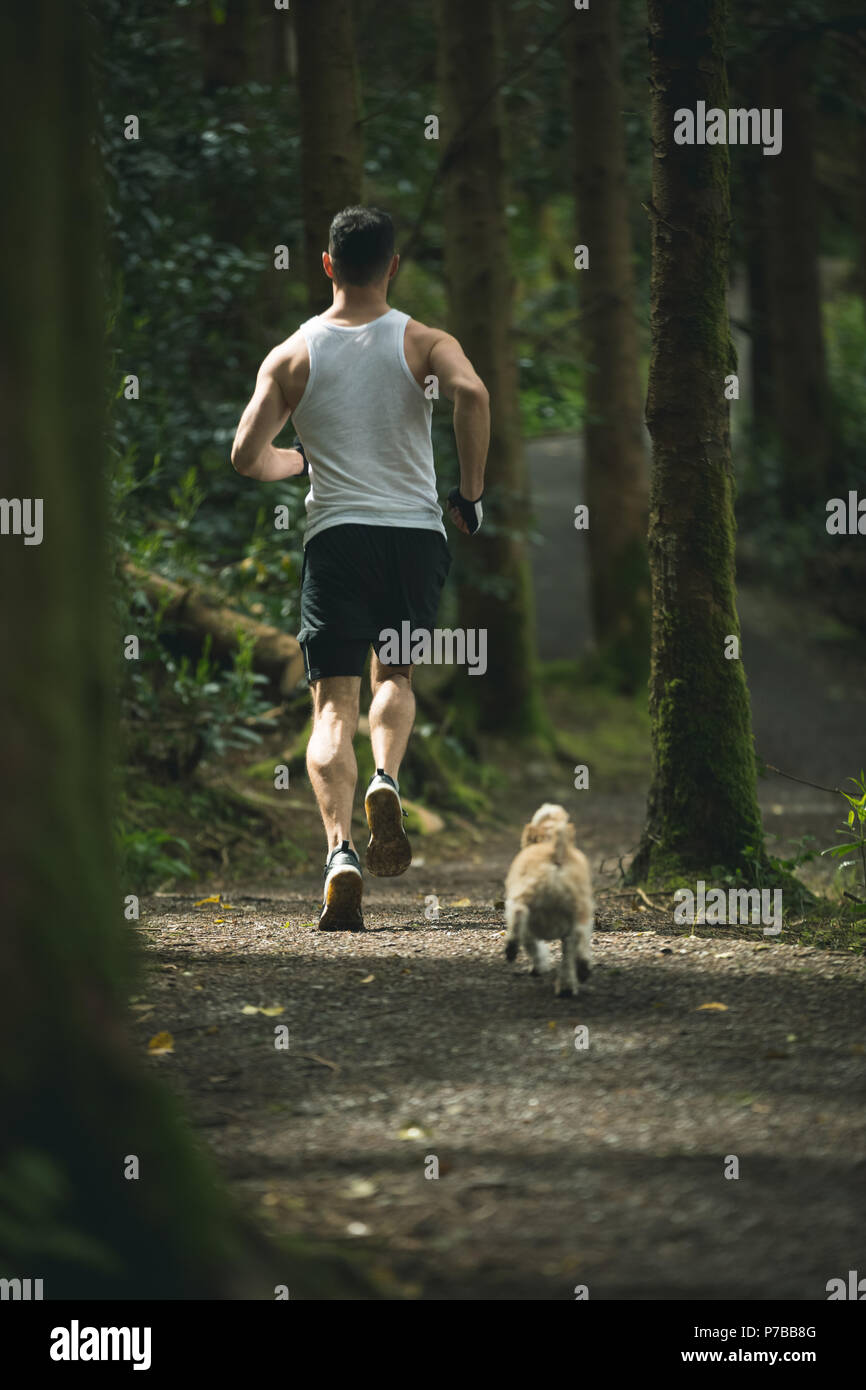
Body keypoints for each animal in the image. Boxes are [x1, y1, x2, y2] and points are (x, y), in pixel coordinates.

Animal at [505, 806, 592, 1000]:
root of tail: (555, 851)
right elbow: (566, 957)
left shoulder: (530, 930)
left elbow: (533, 946)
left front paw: (539, 967)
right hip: (579, 909)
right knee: (578, 937)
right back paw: (580, 972)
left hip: (526, 895)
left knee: (519, 913)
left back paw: (511, 947)